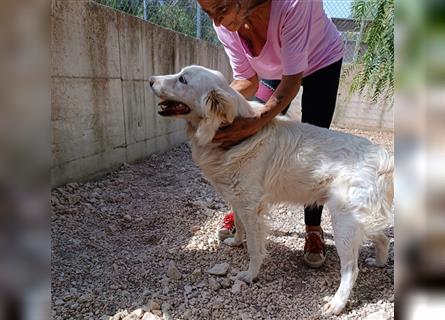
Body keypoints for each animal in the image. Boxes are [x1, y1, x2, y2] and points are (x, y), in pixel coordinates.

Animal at [149, 65, 392, 316]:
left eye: (183, 79)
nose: (150, 80)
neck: (233, 136)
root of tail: (383, 156)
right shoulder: (238, 201)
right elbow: (239, 226)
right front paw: (235, 242)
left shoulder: (252, 209)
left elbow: (255, 249)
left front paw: (250, 275)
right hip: (356, 221)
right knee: (382, 238)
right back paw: (379, 262)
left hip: (343, 221)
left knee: (351, 270)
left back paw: (336, 304)